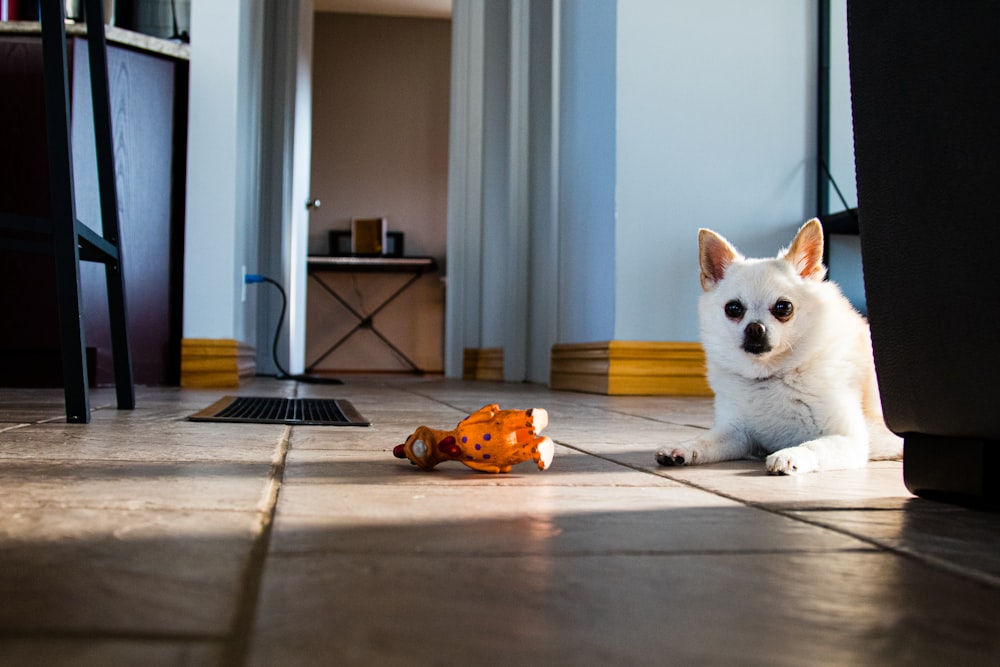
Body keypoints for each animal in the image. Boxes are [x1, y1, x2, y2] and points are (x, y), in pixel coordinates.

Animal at [660, 219, 904, 474]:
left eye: (784, 307)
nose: (755, 328)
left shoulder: (849, 440)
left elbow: (812, 446)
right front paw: (682, 448)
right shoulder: (736, 434)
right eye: (733, 309)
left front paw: (790, 454)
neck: (771, 376)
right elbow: (705, 441)